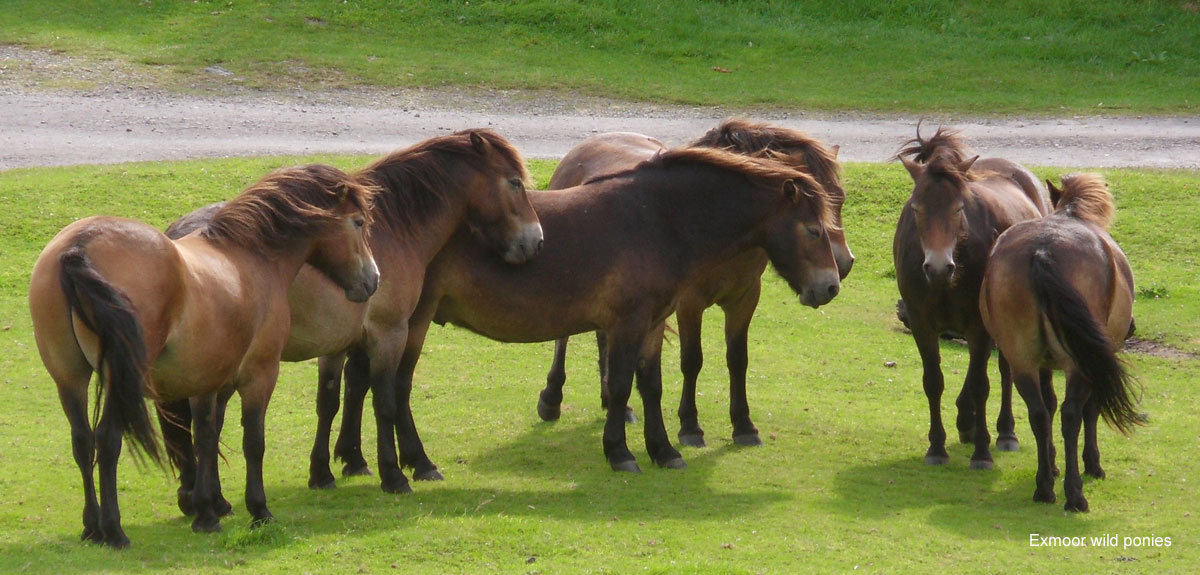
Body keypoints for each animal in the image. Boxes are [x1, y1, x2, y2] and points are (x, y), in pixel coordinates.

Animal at [28, 165, 376, 549]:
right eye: (358, 222)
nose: (373, 280)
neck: (251, 257)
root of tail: (79, 247)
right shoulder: (260, 374)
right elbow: (253, 442)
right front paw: (259, 510)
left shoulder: (206, 380)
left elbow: (206, 438)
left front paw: (207, 513)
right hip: (121, 380)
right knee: (107, 440)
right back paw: (114, 531)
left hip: (69, 377)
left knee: (83, 440)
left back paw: (91, 527)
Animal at [157, 128, 542, 501]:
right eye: (514, 182)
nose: (536, 241)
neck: (390, 230)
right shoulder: (391, 333)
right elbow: (387, 400)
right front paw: (399, 473)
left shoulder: (341, 341)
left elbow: (333, 399)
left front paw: (328, 470)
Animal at [535, 118, 854, 451]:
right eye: (813, 227)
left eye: (840, 200)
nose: (840, 269)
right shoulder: (689, 303)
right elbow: (692, 360)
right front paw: (689, 425)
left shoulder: (745, 299)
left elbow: (737, 360)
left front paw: (743, 425)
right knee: (564, 337)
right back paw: (552, 398)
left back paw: (613, 402)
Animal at [892, 127, 1051, 472]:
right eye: (916, 209)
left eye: (958, 208)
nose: (938, 266)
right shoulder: (921, 324)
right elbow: (933, 381)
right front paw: (936, 447)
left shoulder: (979, 325)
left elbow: (982, 385)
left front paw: (982, 452)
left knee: (1004, 370)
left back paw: (1005, 432)